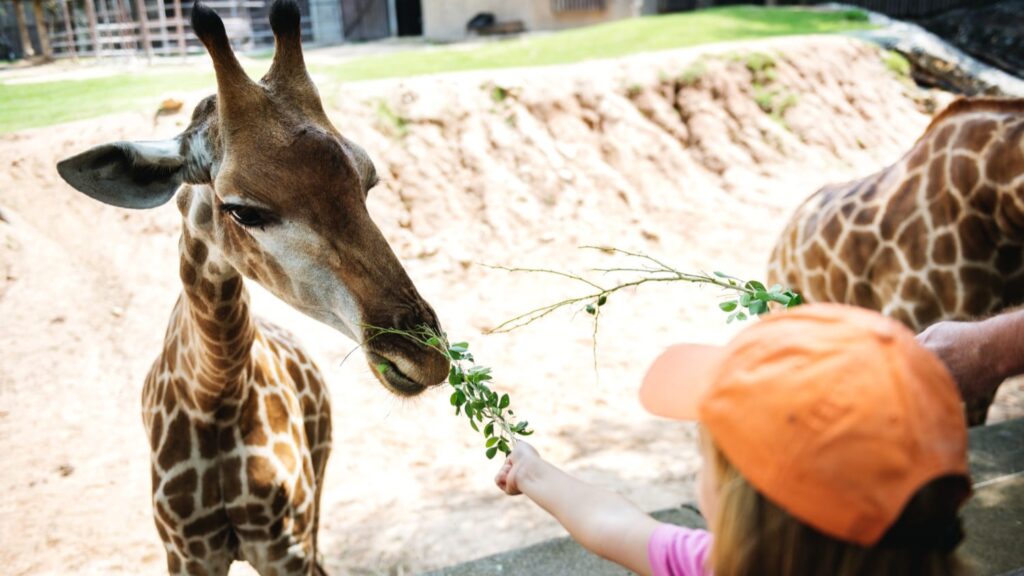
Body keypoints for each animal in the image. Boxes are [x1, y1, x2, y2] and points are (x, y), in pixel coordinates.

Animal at [55, 1, 451, 574]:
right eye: (242, 209)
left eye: (368, 181)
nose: (425, 356)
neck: (214, 393)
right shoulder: (187, 553)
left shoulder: (284, 545)